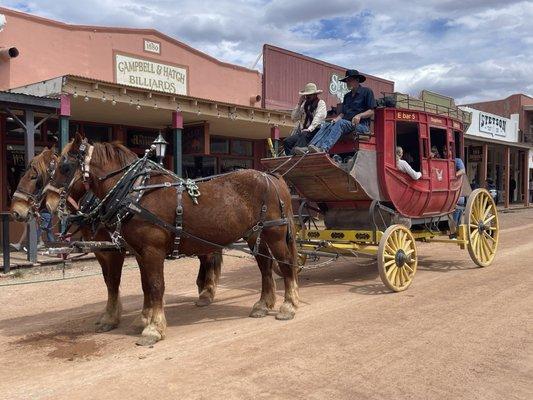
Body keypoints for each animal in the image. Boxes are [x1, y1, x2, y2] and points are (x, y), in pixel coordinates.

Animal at [10, 148, 222, 332]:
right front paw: (121, 314)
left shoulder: (116, 250)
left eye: (34, 177)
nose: (16, 212)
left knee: (209, 257)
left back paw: (207, 292)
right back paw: (203, 288)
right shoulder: (102, 250)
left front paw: (115, 318)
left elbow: (116, 280)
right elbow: (112, 282)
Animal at [45, 133, 300, 346]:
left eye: (65, 167)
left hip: (275, 235)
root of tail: (271, 176)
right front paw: (144, 320)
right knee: (265, 267)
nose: (48, 202)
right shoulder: (139, 252)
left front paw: (153, 329)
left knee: (286, 264)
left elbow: (155, 286)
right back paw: (262, 305)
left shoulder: (150, 250)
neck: (136, 193)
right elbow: (145, 285)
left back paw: (288, 305)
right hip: (256, 235)